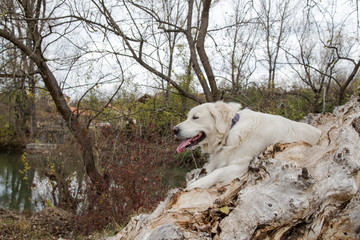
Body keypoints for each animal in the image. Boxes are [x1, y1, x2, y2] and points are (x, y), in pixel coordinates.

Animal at [173, 101, 322, 189]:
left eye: (195, 117)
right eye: (188, 117)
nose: (174, 129)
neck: (230, 130)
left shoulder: (242, 165)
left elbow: (217, 172)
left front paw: (198, 184)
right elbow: (208, 169)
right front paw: (194, 180)